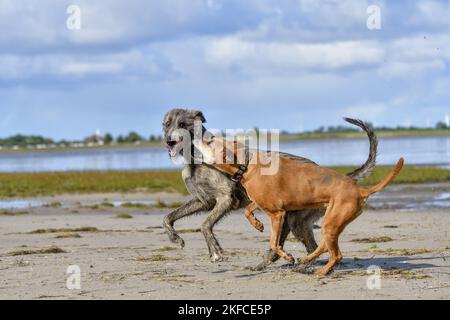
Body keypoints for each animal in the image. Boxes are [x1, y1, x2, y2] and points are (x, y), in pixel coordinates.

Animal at [162, 108, 376, 270]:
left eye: (183, 124)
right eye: (166, 124)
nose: (169, 141)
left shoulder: (226, 198)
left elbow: (206, 225)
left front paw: (215, 251)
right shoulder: (204, 201)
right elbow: (168, 217)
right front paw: (175, 238)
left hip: (296, 219)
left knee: (306, 245)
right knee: (303, 246)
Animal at [193, 133, 404, 276]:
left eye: (210, 142)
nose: (197, 136)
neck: (247, 165)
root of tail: (360, 190)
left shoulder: (277, 214)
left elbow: (274, 243)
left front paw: (287, 256)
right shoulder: (266, 205)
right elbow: (248, 210)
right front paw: (257, 224)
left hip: (327, 222)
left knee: (335, 254)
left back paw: (320, 271)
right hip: (330, 222)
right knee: (324, 247)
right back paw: (306, 261)